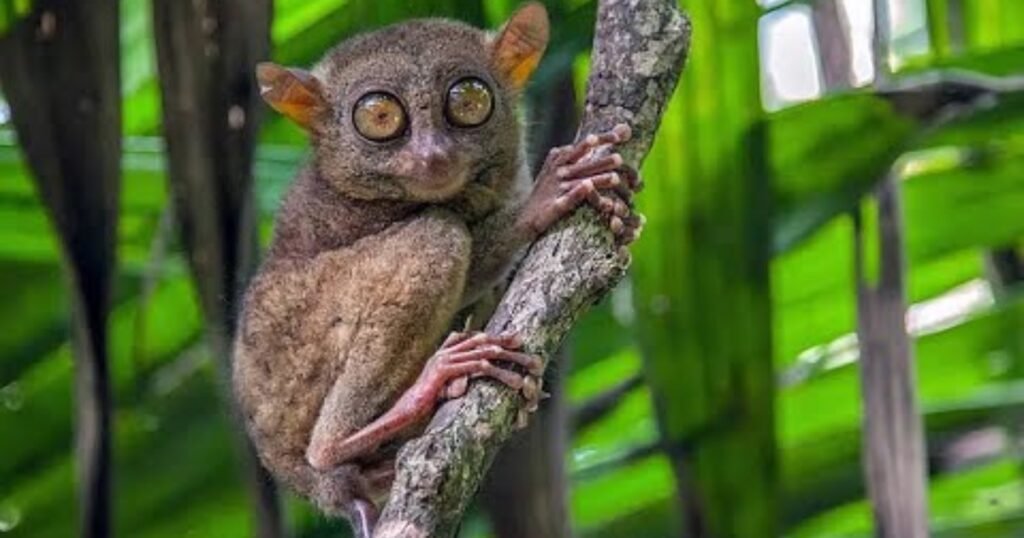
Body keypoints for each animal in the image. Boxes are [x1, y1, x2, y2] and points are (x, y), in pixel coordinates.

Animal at [232, 4, 642, 537]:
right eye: (379, 117)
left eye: (468, 101)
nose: (433, 156)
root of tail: (297, 476)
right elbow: (472, 245)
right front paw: (547, 195)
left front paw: (623, 217)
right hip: (298, 359)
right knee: (438, 235)